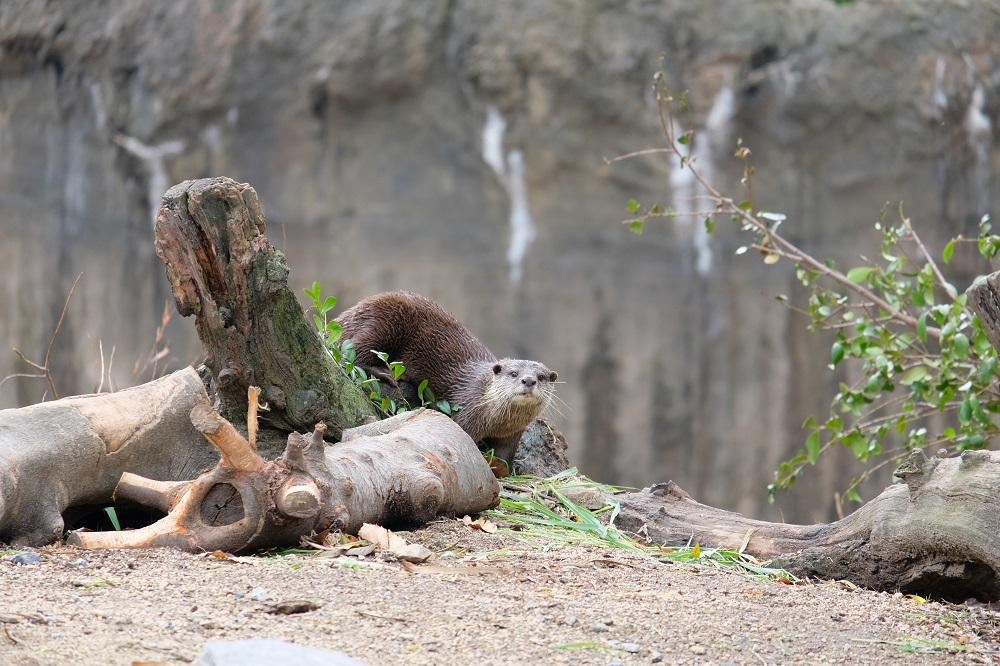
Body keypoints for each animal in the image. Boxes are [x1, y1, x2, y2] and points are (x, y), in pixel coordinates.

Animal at [334, 290, 556, 466]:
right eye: (514, 373)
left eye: (541, 377)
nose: (529, 381)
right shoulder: (467, 411)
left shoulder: (512, 434)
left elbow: (505, 456)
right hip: (385, 320)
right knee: (351, 353)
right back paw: (388, 374)